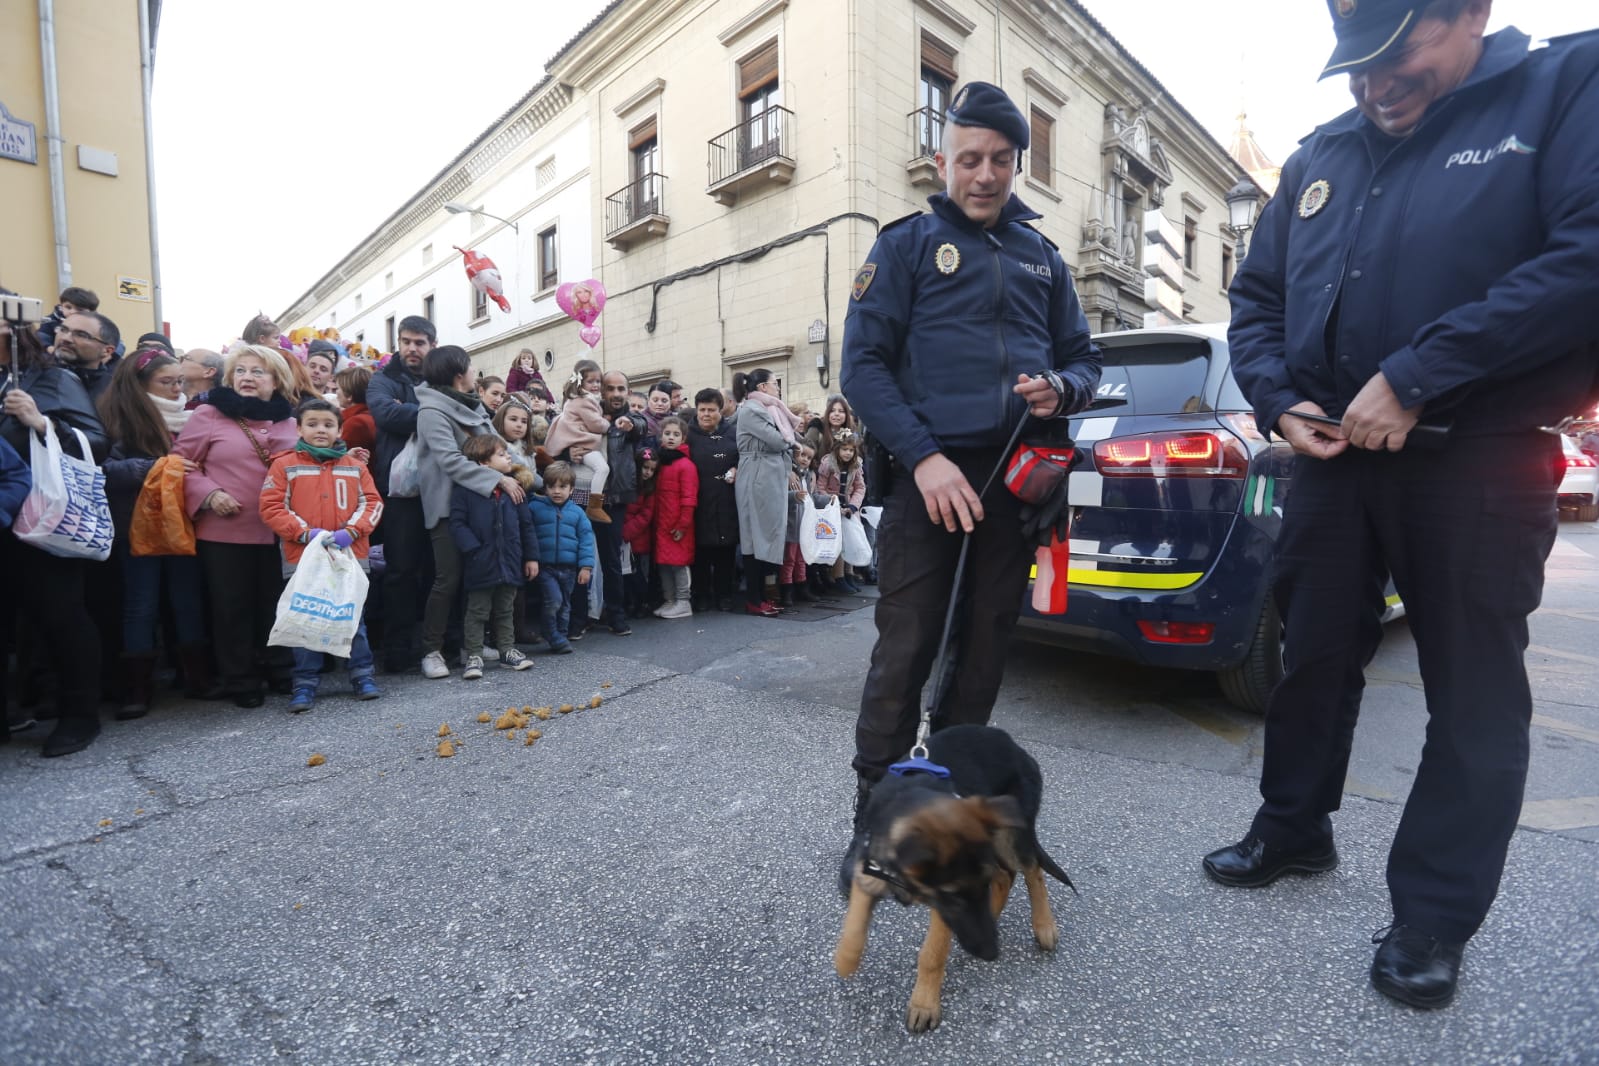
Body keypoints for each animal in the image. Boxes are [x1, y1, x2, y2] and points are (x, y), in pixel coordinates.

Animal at [837, 725, 1074, 1035]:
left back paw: (1044, 926)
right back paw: (996, 913)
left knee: (1032, 871)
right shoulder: (873, 867)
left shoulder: (945, 909)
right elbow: (855, 922)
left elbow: (932, 954)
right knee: (1006, 876)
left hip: (1011, 836)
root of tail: (1015, 746)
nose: (991, 953)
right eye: (954, 897)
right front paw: (845, 958)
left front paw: (924, 1004)